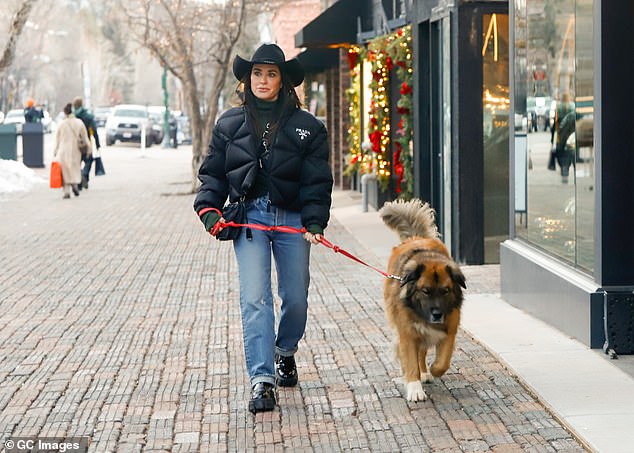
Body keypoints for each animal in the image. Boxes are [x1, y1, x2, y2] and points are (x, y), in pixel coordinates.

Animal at [378, 198, 466, 400]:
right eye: (425, 291)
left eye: (445, 291)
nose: (437, 314)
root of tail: (416, 238)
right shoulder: (407, 332)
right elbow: (410, 361)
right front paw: (414, 388)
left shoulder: (449, 329)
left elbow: (443, 361)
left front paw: (433, 370)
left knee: (423, 352)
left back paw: (425, 372)